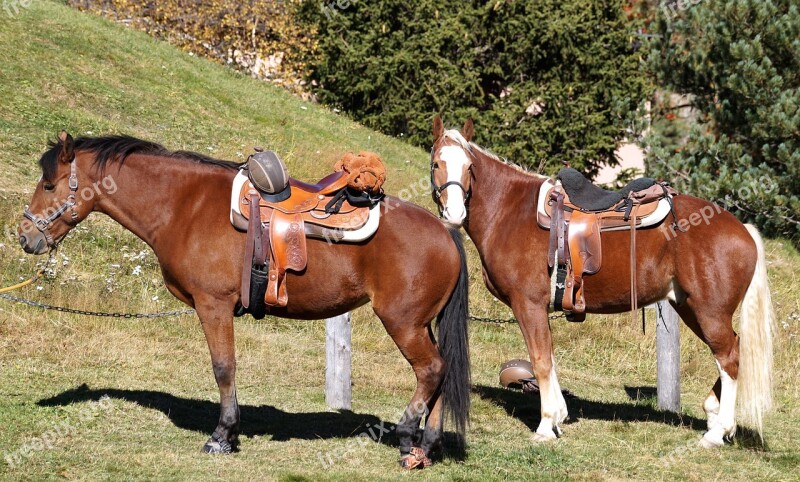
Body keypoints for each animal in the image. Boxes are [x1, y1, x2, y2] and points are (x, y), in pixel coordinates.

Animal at [18, 131, 472, 466]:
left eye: (49, 184)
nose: (25, 236)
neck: (184, 205)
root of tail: (444, 230)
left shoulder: (213, 305)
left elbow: (223, 367)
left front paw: (222, 435)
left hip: (403, 322)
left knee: (430, 370)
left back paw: (406, 436)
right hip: (421, 324)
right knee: (439, 372)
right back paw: (426, 446)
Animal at [432, 116, 776, 448]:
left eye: (469, 167)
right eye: (437, 163)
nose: (454, 212)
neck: (510, 211)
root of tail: (743, 230)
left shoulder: (528, 305)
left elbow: (541, 361)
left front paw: (545, 426)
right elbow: (550, 358)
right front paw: (559, 415)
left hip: (709, 312)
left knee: (729, 357)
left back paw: (717, 433)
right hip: (690, 308)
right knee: (732, 349)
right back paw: (714, 417)